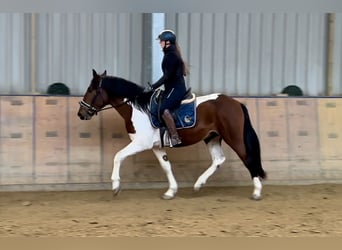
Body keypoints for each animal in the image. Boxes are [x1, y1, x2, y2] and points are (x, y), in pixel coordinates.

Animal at [77, 69, 268, 200]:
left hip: (234, 137)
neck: (137, 109)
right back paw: (199, 184)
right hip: (212, 137)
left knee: (247, 158)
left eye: (91, 90)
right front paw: (170, 191)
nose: (81, 113)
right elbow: (166, 166)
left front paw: (115, 185)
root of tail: (235, 103)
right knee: (218, 160)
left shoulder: (141, 144)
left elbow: (118, 156)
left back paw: (257, 192)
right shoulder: (155, 146)